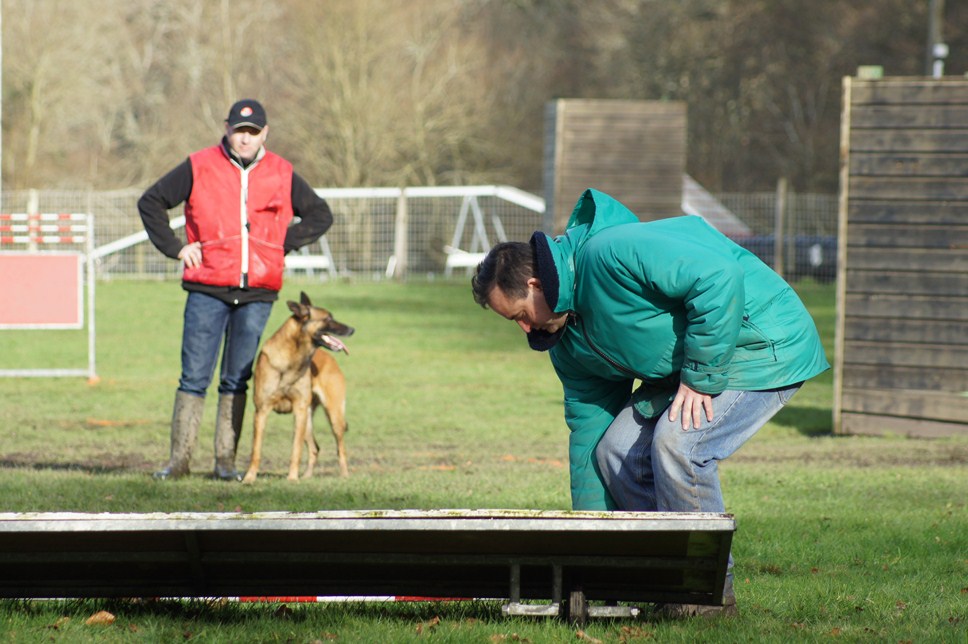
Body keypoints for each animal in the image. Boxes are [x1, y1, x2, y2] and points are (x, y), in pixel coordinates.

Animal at [242, 292, 356, 484]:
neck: (292, 359)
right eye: (328, 318)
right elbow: (255, 450)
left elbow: (296, 449)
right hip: (308, 420)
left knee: (341, 449)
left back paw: (345, 476)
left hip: (332, 416)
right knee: (315, 448)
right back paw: (307, 477)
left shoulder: (299, 410)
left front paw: (292, 479)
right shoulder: (262, 411)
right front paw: (249, 478)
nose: (352, 329)